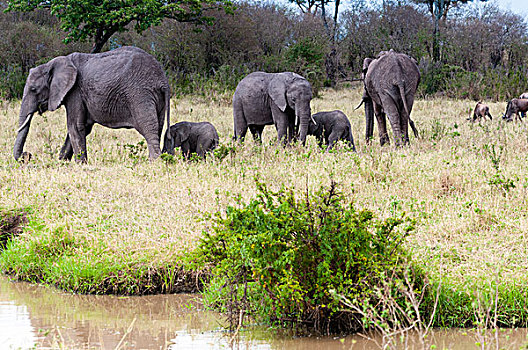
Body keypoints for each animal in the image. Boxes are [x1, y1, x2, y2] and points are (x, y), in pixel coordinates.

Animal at [12, 44, 171, 163]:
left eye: (33, 89)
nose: (27, 156)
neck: (52, 64)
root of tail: (162, 79)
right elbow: (81, 128)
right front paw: (62, 162)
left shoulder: (75, 91)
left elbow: (75, 126)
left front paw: (79, 164)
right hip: (156, 97)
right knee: (158, 127)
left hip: (139, 93)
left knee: (148, 128)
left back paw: (154, 162)